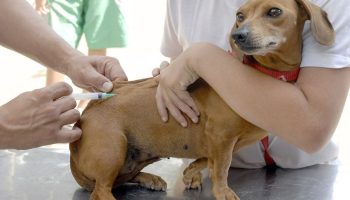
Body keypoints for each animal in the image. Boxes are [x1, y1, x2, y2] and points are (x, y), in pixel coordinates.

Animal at [69, 0, 334, 199]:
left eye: (274, 11)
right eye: (240, 15)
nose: (238, 35)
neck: (262, 73)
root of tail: (87, 111)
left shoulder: (220, 142)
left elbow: (208, 160)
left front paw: (191, 172)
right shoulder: (221, 137)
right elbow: (221, 168)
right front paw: (223, 192)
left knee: (121, 179)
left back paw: (149, 178)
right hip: (114, 149)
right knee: (102, 190)